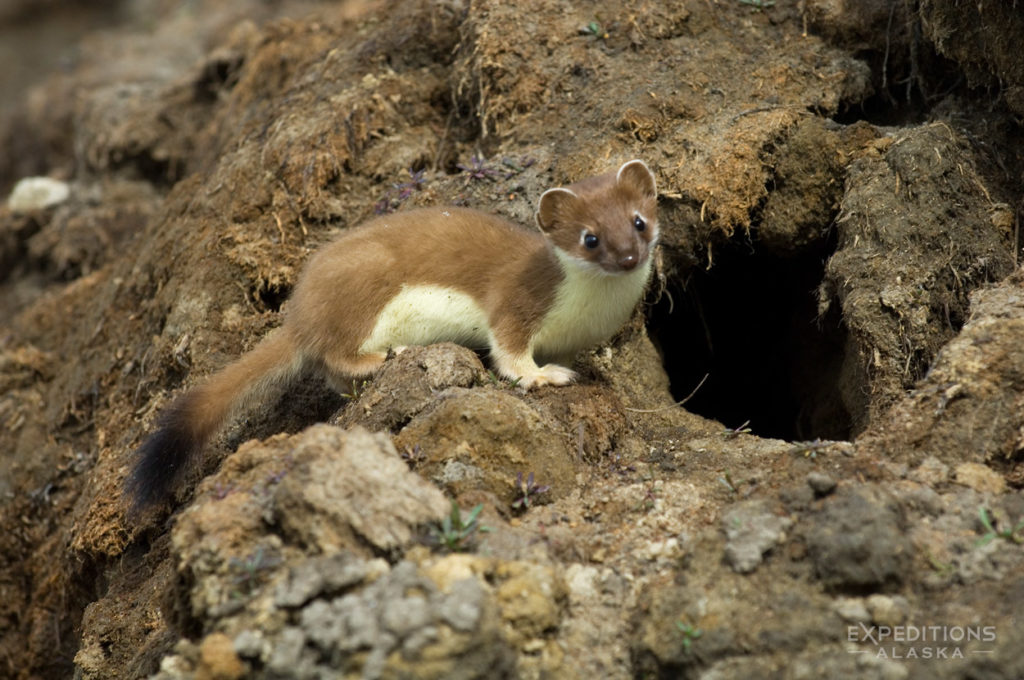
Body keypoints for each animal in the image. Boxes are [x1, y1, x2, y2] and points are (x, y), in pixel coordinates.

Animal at [128, 160, 659, 510]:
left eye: (639, 220)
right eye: (590, 237)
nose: (629, 256)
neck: (590, 311)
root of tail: (300, 309)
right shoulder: (516, 301)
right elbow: (509, 351)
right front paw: (544, 375)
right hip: (365, 287)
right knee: (336, 353)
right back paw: (389, 353)